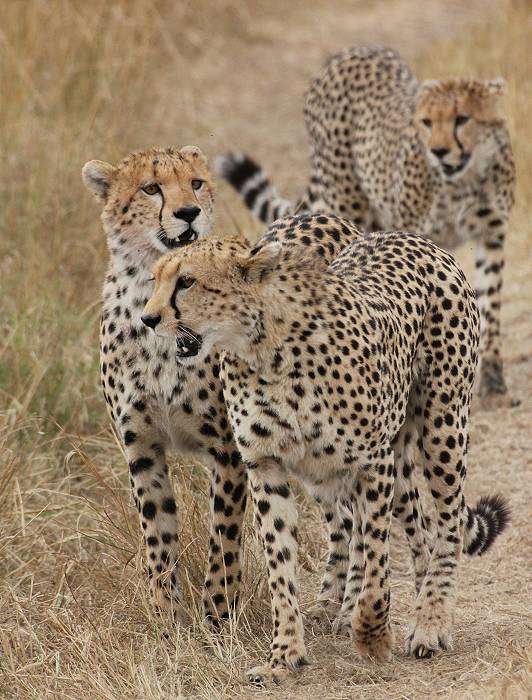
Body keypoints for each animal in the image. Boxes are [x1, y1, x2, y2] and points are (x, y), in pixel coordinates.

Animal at [82, 146, 248, 624]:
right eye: (151, 188)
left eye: (196, 183)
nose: (188, 212)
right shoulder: (140, 445)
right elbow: (157, 529)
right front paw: (165, 614)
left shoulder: (229, 448)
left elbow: (224, 535)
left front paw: (217, 614)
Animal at [143, 213, 510, 684]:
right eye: (154, 279)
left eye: (187, 281)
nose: (147, 319)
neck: (262, 348)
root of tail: (410, 237)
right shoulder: (266, 466)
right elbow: (282, 566)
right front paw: (283, 655)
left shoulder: (372, 461)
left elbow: (375, 555)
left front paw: (372, 635)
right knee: (410, 527)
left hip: (442, 425)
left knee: (444, 522)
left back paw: (430, 621)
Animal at [217, 46, 516, 400]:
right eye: (427, 123)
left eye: (462, 119)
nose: (439, 151)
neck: (463, 179)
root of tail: (350, 52)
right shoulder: (416, 231)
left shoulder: (491, 235)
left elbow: (491, 302)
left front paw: (493, 376)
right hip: (346, 200)